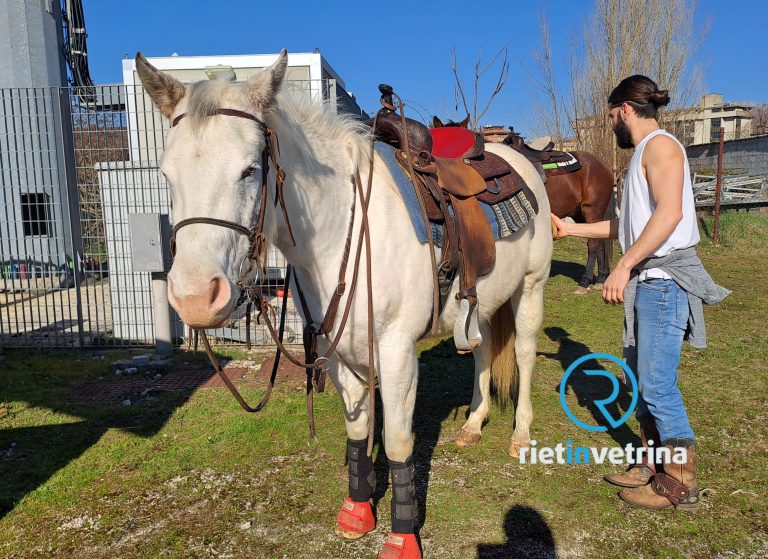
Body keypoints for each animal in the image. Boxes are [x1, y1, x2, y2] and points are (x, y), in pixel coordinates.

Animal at [136, 50, 552, 559]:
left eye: (249, 169)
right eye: (166, 174)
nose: (195, 296)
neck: (343, 230)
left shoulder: (396, 353)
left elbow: (397, 442)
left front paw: (401, 534)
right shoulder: (340, 353)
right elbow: (358, 433)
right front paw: (357, 512)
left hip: (531, 288)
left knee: (526, 354)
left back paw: (520, 434)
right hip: (481, 305)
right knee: (482, 352)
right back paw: (473, 425)